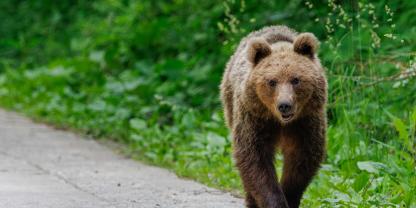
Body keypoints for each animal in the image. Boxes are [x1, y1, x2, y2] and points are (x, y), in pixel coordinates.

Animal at [221, 26, 328, 208]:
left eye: (296, 79)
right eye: (272, 81)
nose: (284, 105)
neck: (281, 122)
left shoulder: (306, 121)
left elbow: (302, 159)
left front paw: (289, 196)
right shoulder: (255, 118)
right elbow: (254, 157)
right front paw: (275, 201)